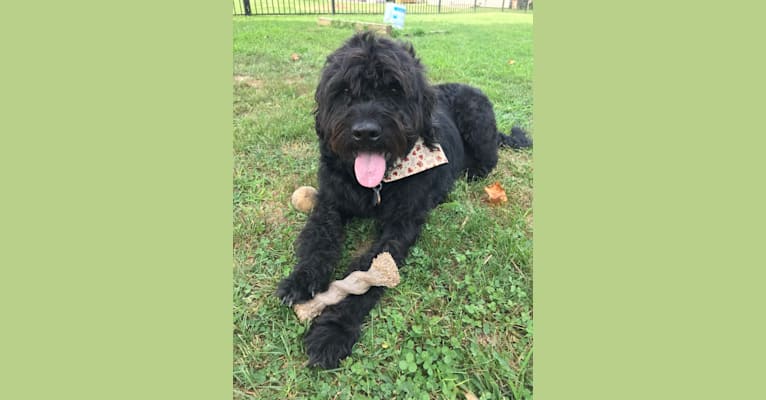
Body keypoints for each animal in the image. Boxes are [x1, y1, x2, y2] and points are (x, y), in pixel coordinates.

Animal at [278, 32, 536, 368]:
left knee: (488, 161)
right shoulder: (330, 204)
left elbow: (367, 275)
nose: (365, 132)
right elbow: (318, 239)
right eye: (344, 90)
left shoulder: (401, 225)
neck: (375, 187)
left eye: (393, 90)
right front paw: (301, 279)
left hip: (479, 127)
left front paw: (334, 330)